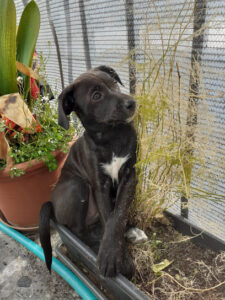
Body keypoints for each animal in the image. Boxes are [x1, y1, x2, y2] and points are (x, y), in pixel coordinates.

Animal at [39, 65, 137, 276]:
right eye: (96, 96)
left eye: (114, 83)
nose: (132, 103)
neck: (111, 136)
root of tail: (51, 204)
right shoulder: (99, 185)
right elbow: (109, 218)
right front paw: (116, 259)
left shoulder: (129, 176)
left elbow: (118, 215)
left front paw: (118, 256)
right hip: (78, 186)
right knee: (78, 231)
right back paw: (94, 246)